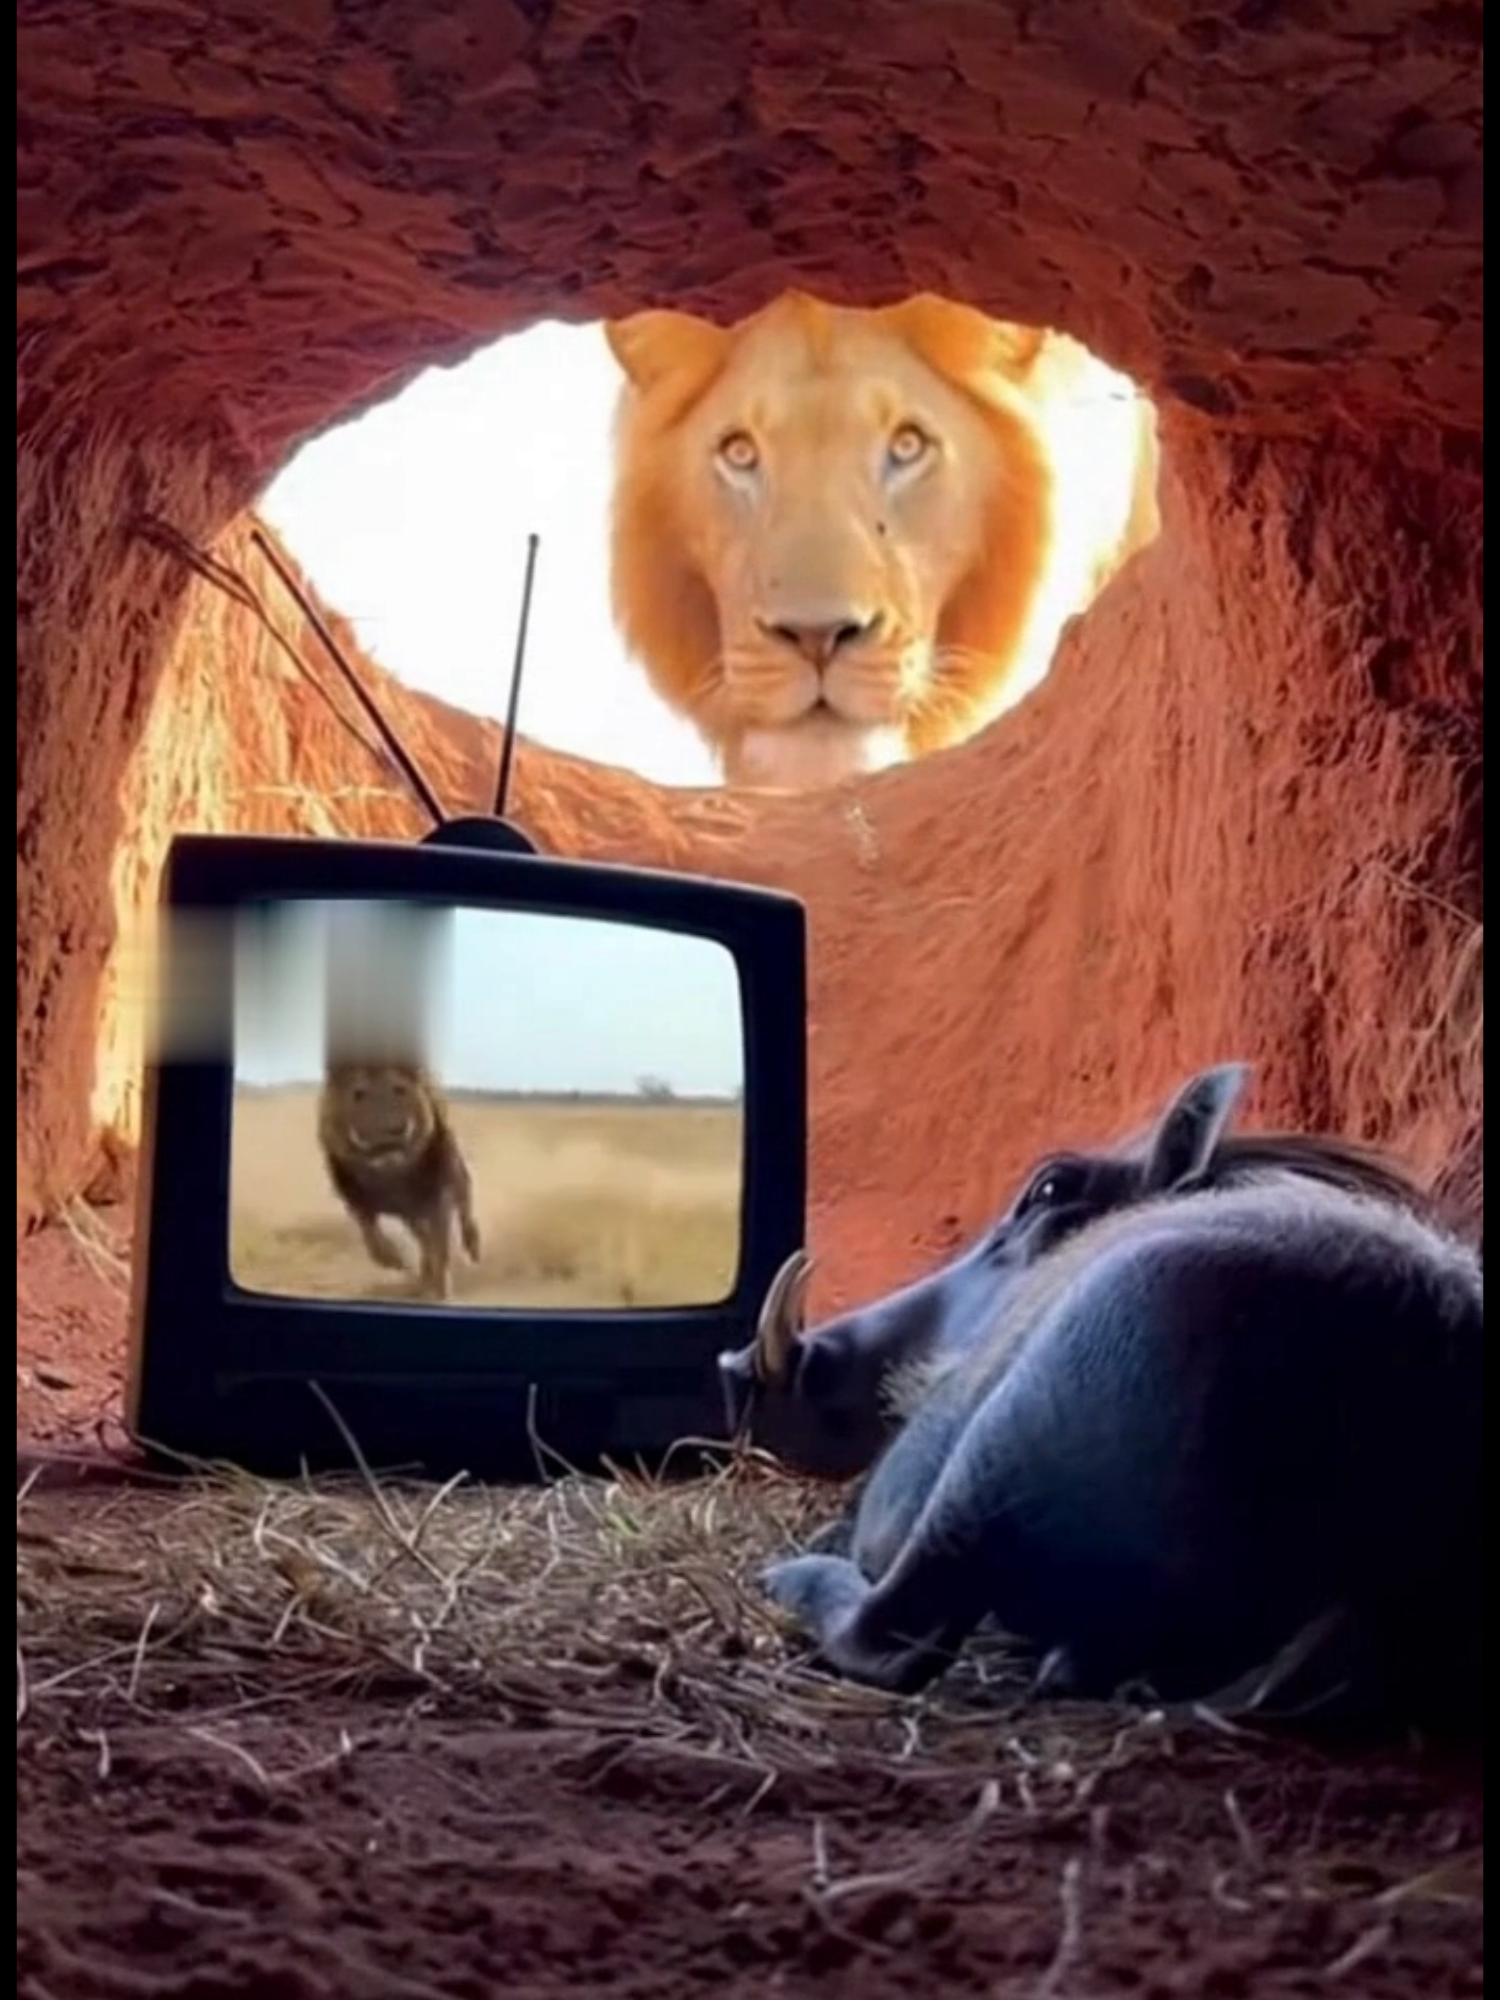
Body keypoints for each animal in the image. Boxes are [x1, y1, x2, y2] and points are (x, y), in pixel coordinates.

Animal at [316, 1059, 482, 1303]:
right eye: (358, 1094)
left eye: (400, 1090)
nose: (388, 1132)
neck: (390, 1176)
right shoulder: (355, 1199)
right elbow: (371, 1235)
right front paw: (393, 1260)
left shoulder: (437, 1196)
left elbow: (440, 1248)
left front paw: (442, 1293)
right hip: (411, 1215)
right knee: (423, 1239)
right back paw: (422, 1276)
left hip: (455, 1178)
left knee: (464, 1210)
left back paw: (471, 1247)